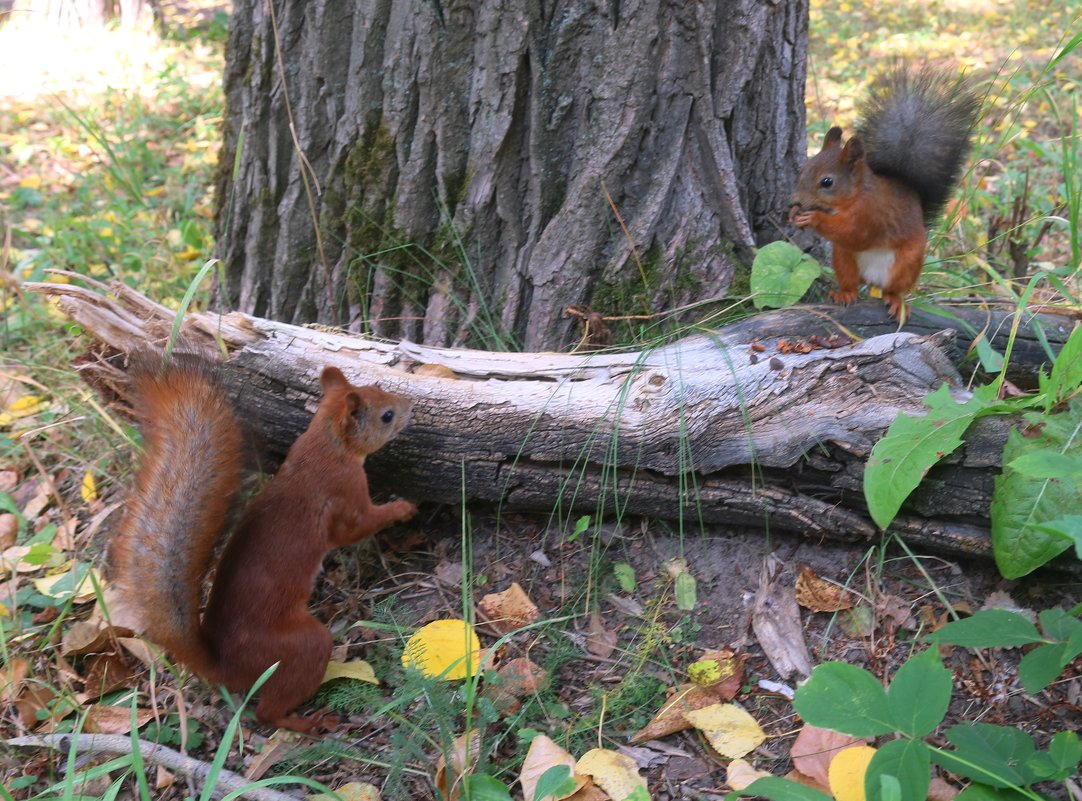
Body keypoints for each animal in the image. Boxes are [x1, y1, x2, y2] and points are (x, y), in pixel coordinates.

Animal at [108, 359, 413, 736]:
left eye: (378, 387)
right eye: (387, 415)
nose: (410, 405)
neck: (325, 446)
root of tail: (224, 666)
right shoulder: (345, 494)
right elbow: (356, 527)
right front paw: (402, 509)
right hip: (301, 647)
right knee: (267, 712)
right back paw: (310, 722)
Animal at [787, 65, 982, 320]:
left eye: (827, 182)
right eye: (802, 169)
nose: (795, 201)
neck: (855, 197)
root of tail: (873, 280)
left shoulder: (873, 213)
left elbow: (855, 233)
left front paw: (813, 218)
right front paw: (795, 215)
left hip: (906, 265)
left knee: (894, 289)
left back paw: (896, 301)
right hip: (844, 259)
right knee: (850, 282)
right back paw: (844, 294)